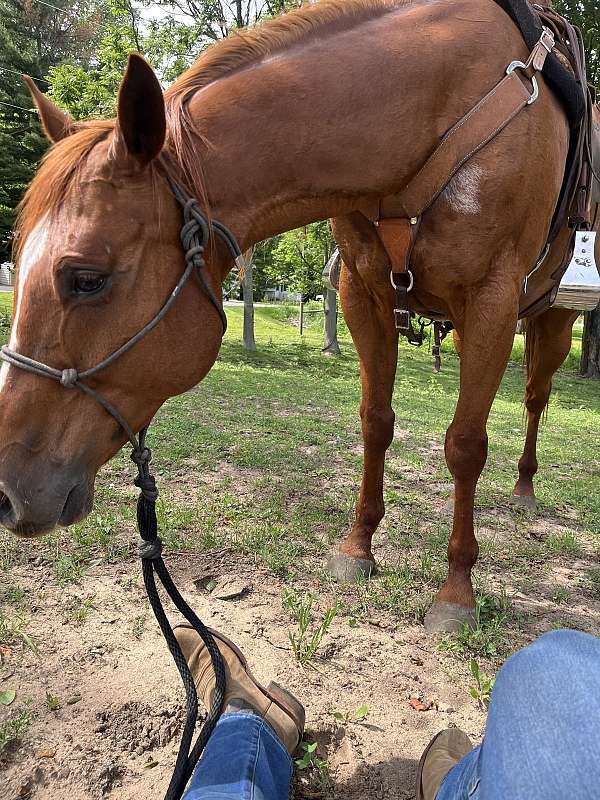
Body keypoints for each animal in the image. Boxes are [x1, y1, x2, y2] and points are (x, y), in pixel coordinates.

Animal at [0, 0, 585, 633]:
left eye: (86, 279)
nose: (4, 490)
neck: (440, 108)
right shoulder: (362, 292)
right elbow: (375, 422)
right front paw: (358, 546)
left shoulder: (491, 303)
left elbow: (465, 446)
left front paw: (456, 590)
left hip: (551, 319)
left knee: (534, 398)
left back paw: (524, 486)